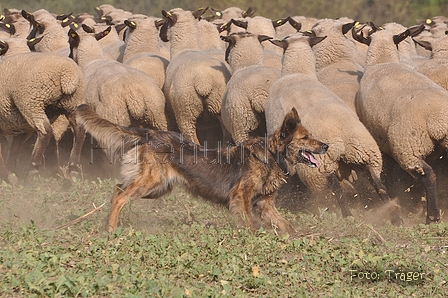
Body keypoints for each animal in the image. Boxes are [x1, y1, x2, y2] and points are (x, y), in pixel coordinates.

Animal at [75, 104, 328, 233]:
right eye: (305, 138)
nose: (326, 145)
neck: (272, 156)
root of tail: (149, 133)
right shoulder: (241, 197)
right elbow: (250, 224)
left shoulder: (264, 204)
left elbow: (287, 225)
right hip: (151, 183)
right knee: (120, 197)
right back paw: (111, 230)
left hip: (157, 188)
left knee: (117, 189)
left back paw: (106, 224)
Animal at [159, 7, 231, 145]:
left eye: (165, 20)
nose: (161, 35)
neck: (186, 47)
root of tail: (203, 81)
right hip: (220, 106)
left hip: (185, 111)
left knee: (192, 138)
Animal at [264, 33, 398, 222]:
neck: (297, 72)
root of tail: (340, 140)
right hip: (368, 155)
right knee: (379, 186)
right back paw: (395, 217)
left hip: (320, 168)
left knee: (337, 190)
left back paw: (348, 216)